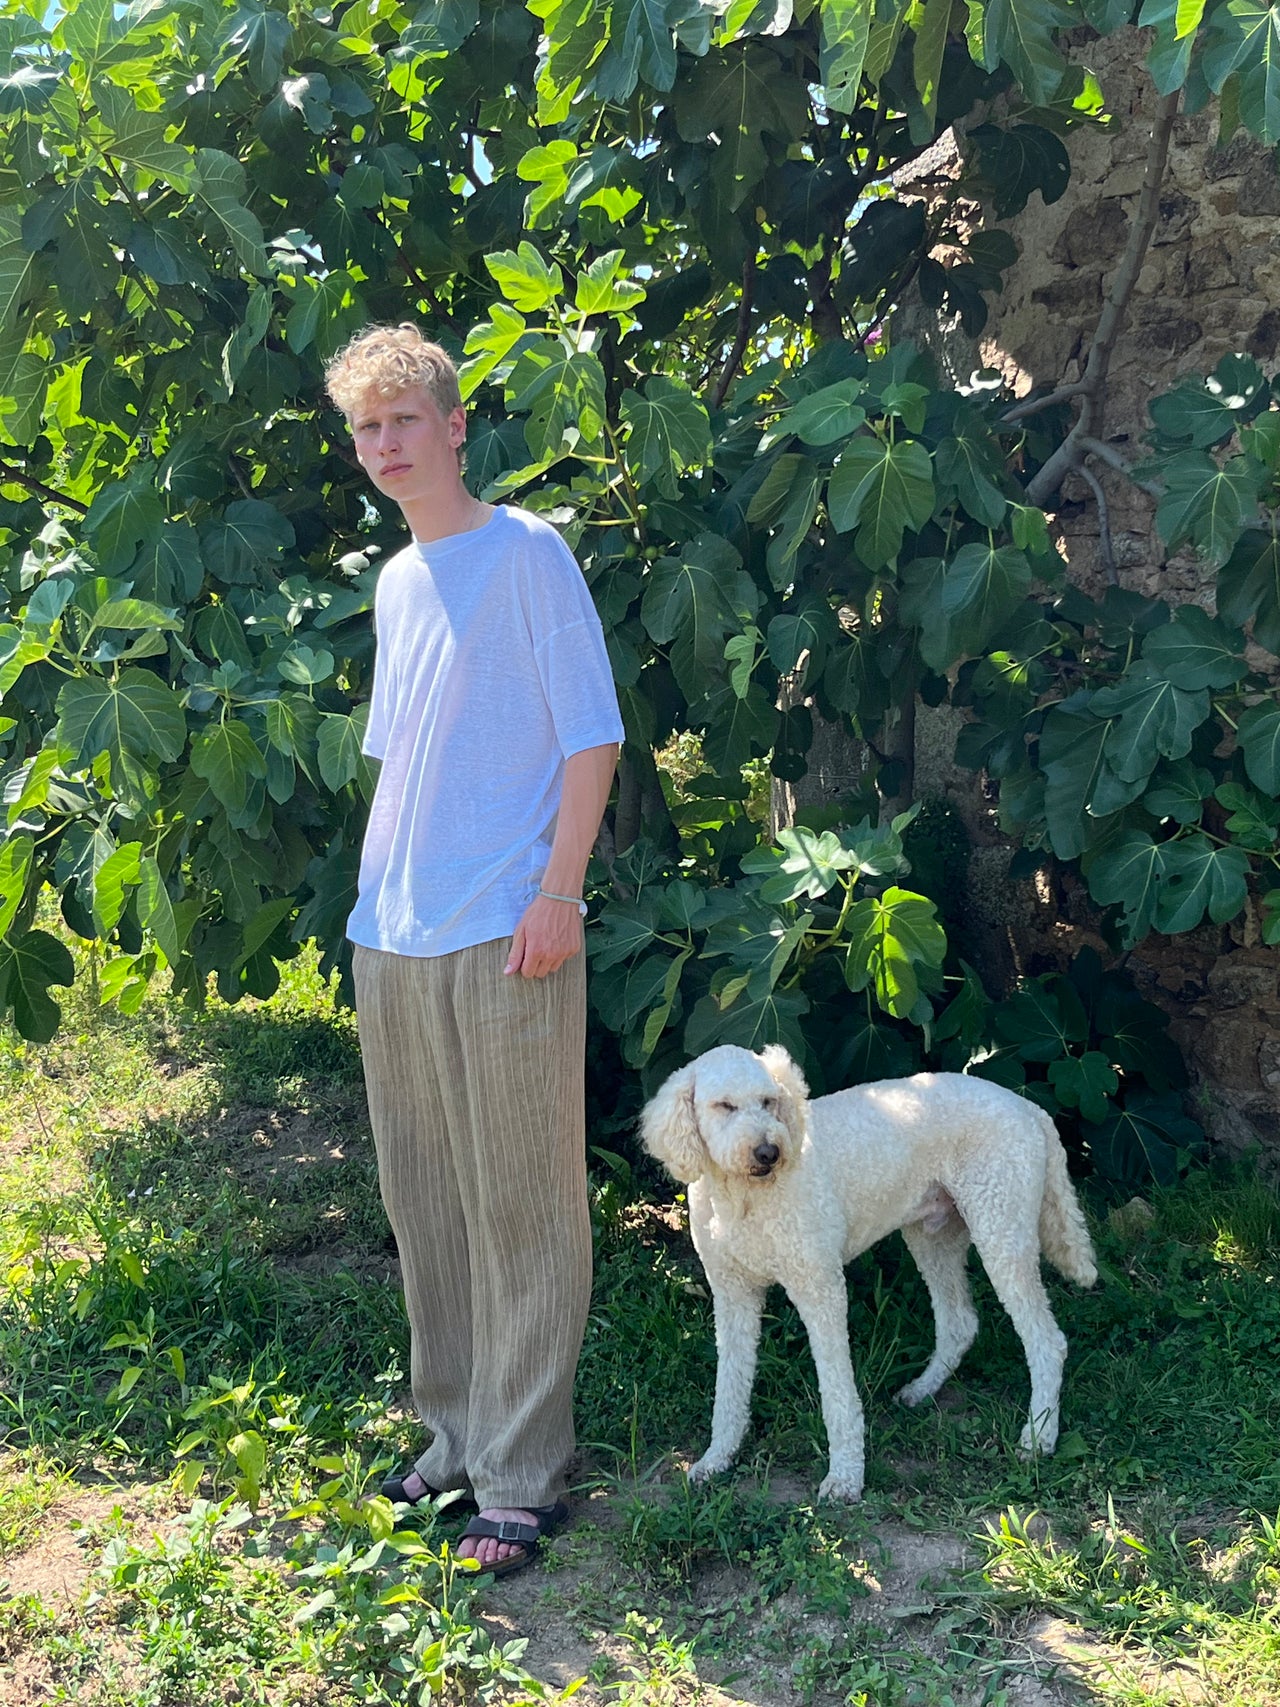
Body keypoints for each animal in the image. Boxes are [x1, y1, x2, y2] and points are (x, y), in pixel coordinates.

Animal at [645, 1044, 1099, 1502]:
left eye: (768, 1102)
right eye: (724, 1106)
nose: (768, 1152)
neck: (743, 1197)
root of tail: (1028, 1107)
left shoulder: (820, 1286)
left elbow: (837, 1392)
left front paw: (845, 1478)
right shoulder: (732, 1294)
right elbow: (730, 1385)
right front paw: (717, 1458)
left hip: (1002, 1231)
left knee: (1047, 1343)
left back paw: (1039, 1436)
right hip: (933, 1237)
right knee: (960, 1324)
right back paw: (921, 1389)